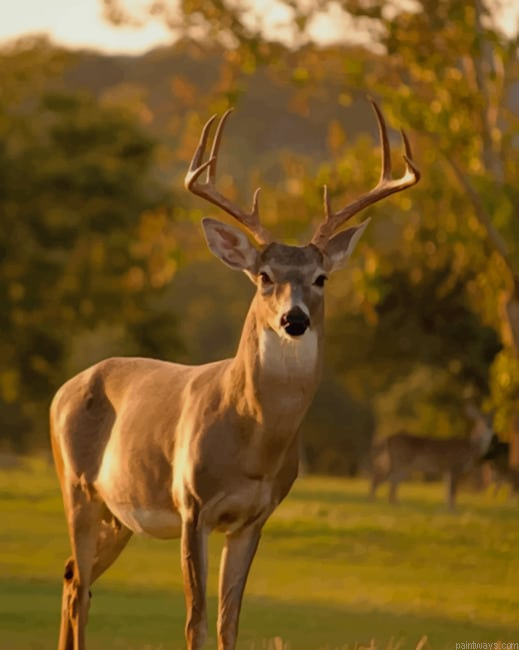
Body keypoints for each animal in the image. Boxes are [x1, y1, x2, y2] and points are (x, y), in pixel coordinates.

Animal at [49, 99, 419, 650]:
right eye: (264, 276)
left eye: (320, 278)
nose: (294, 319)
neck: (252, 440)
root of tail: (63, 390)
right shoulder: (192, 505)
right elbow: (196, 620)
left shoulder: (253, 518)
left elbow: (229, 622)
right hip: (76, 487)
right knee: (79, 585)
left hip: (118, 513)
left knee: (75, 576)